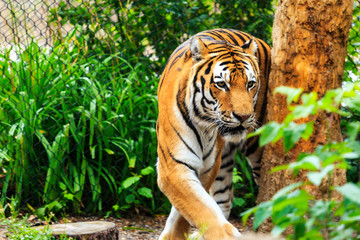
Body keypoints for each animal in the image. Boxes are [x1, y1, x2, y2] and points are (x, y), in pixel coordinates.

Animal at [156, 28, 272, 240]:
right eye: (222, 84)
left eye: (250, 84)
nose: (243, 116)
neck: (203, 125)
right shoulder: (174, 165)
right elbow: (199, 207)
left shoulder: (207, 166)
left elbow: (191, 208)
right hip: (223, 161)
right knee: (225, 197)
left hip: (254, 147)